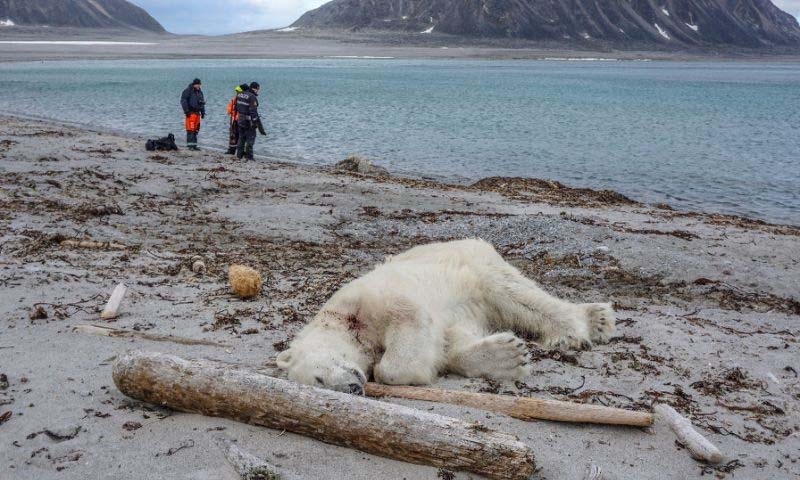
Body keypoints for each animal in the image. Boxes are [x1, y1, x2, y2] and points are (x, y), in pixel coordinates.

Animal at [278, 239, 616, 394]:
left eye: (318, 377)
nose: (352, 387)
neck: (344, 322)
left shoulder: (368, 299)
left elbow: (407, 322)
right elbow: (450, 343)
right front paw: (507, 355)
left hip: (475, 265)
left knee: (517, 295)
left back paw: (585, 324)